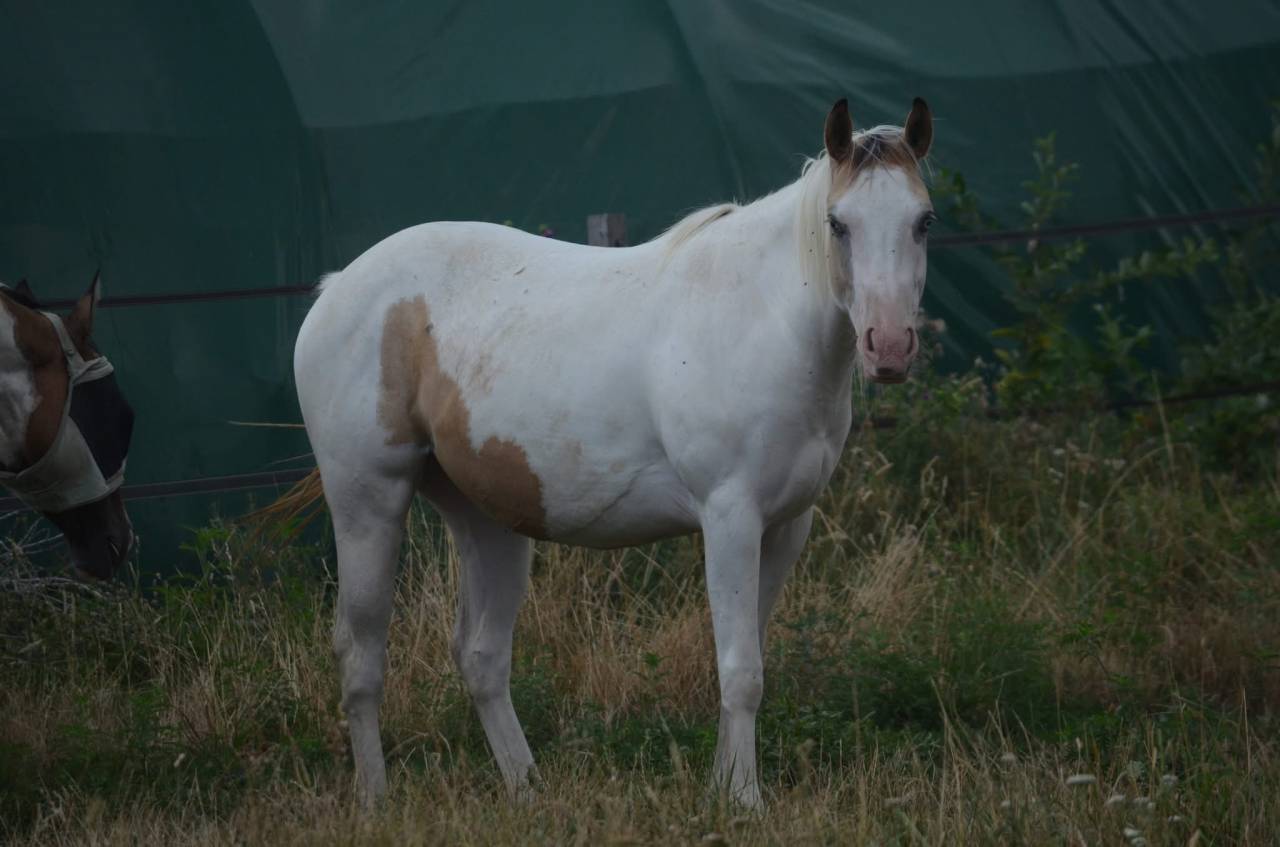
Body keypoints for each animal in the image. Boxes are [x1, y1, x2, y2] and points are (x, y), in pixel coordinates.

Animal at [294, 97, 935, 808]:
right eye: (838, 223)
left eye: (923, 221)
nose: (890, 347)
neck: (761, 319)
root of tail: (337, 289)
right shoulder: (730, 518)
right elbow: (740, 669)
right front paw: (745, 800)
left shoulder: (787, 527)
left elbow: (749, 658)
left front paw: (722, 786)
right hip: (368, 504)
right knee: (360, 655)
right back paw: (377, 801)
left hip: (487, 520)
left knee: (481, 657)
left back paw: (527, 790)